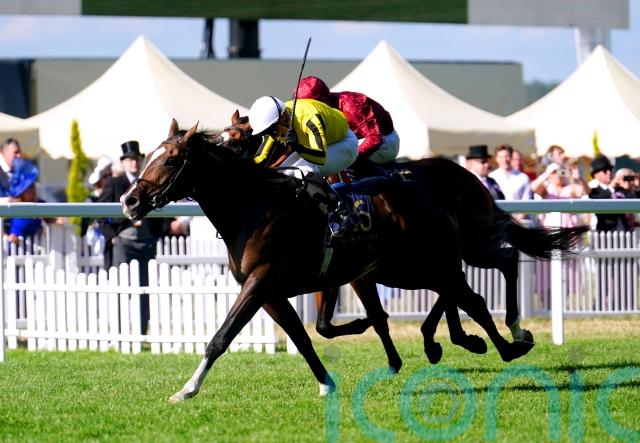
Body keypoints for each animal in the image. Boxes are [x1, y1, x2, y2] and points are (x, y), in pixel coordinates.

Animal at [122, 120, 584, 402]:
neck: (253, 205)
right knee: (464, 289)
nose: (129, 200)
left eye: (170, 159)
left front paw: (186, 389)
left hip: (431, 260)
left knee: (487, 280)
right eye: (148, 156)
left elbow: (221, 336)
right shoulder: (273, 292)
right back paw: (470, 340)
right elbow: (307, 336)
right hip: (409, 267)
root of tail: (433, 188)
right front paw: (327, 382)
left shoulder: (262, 281)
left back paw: (508, 340)